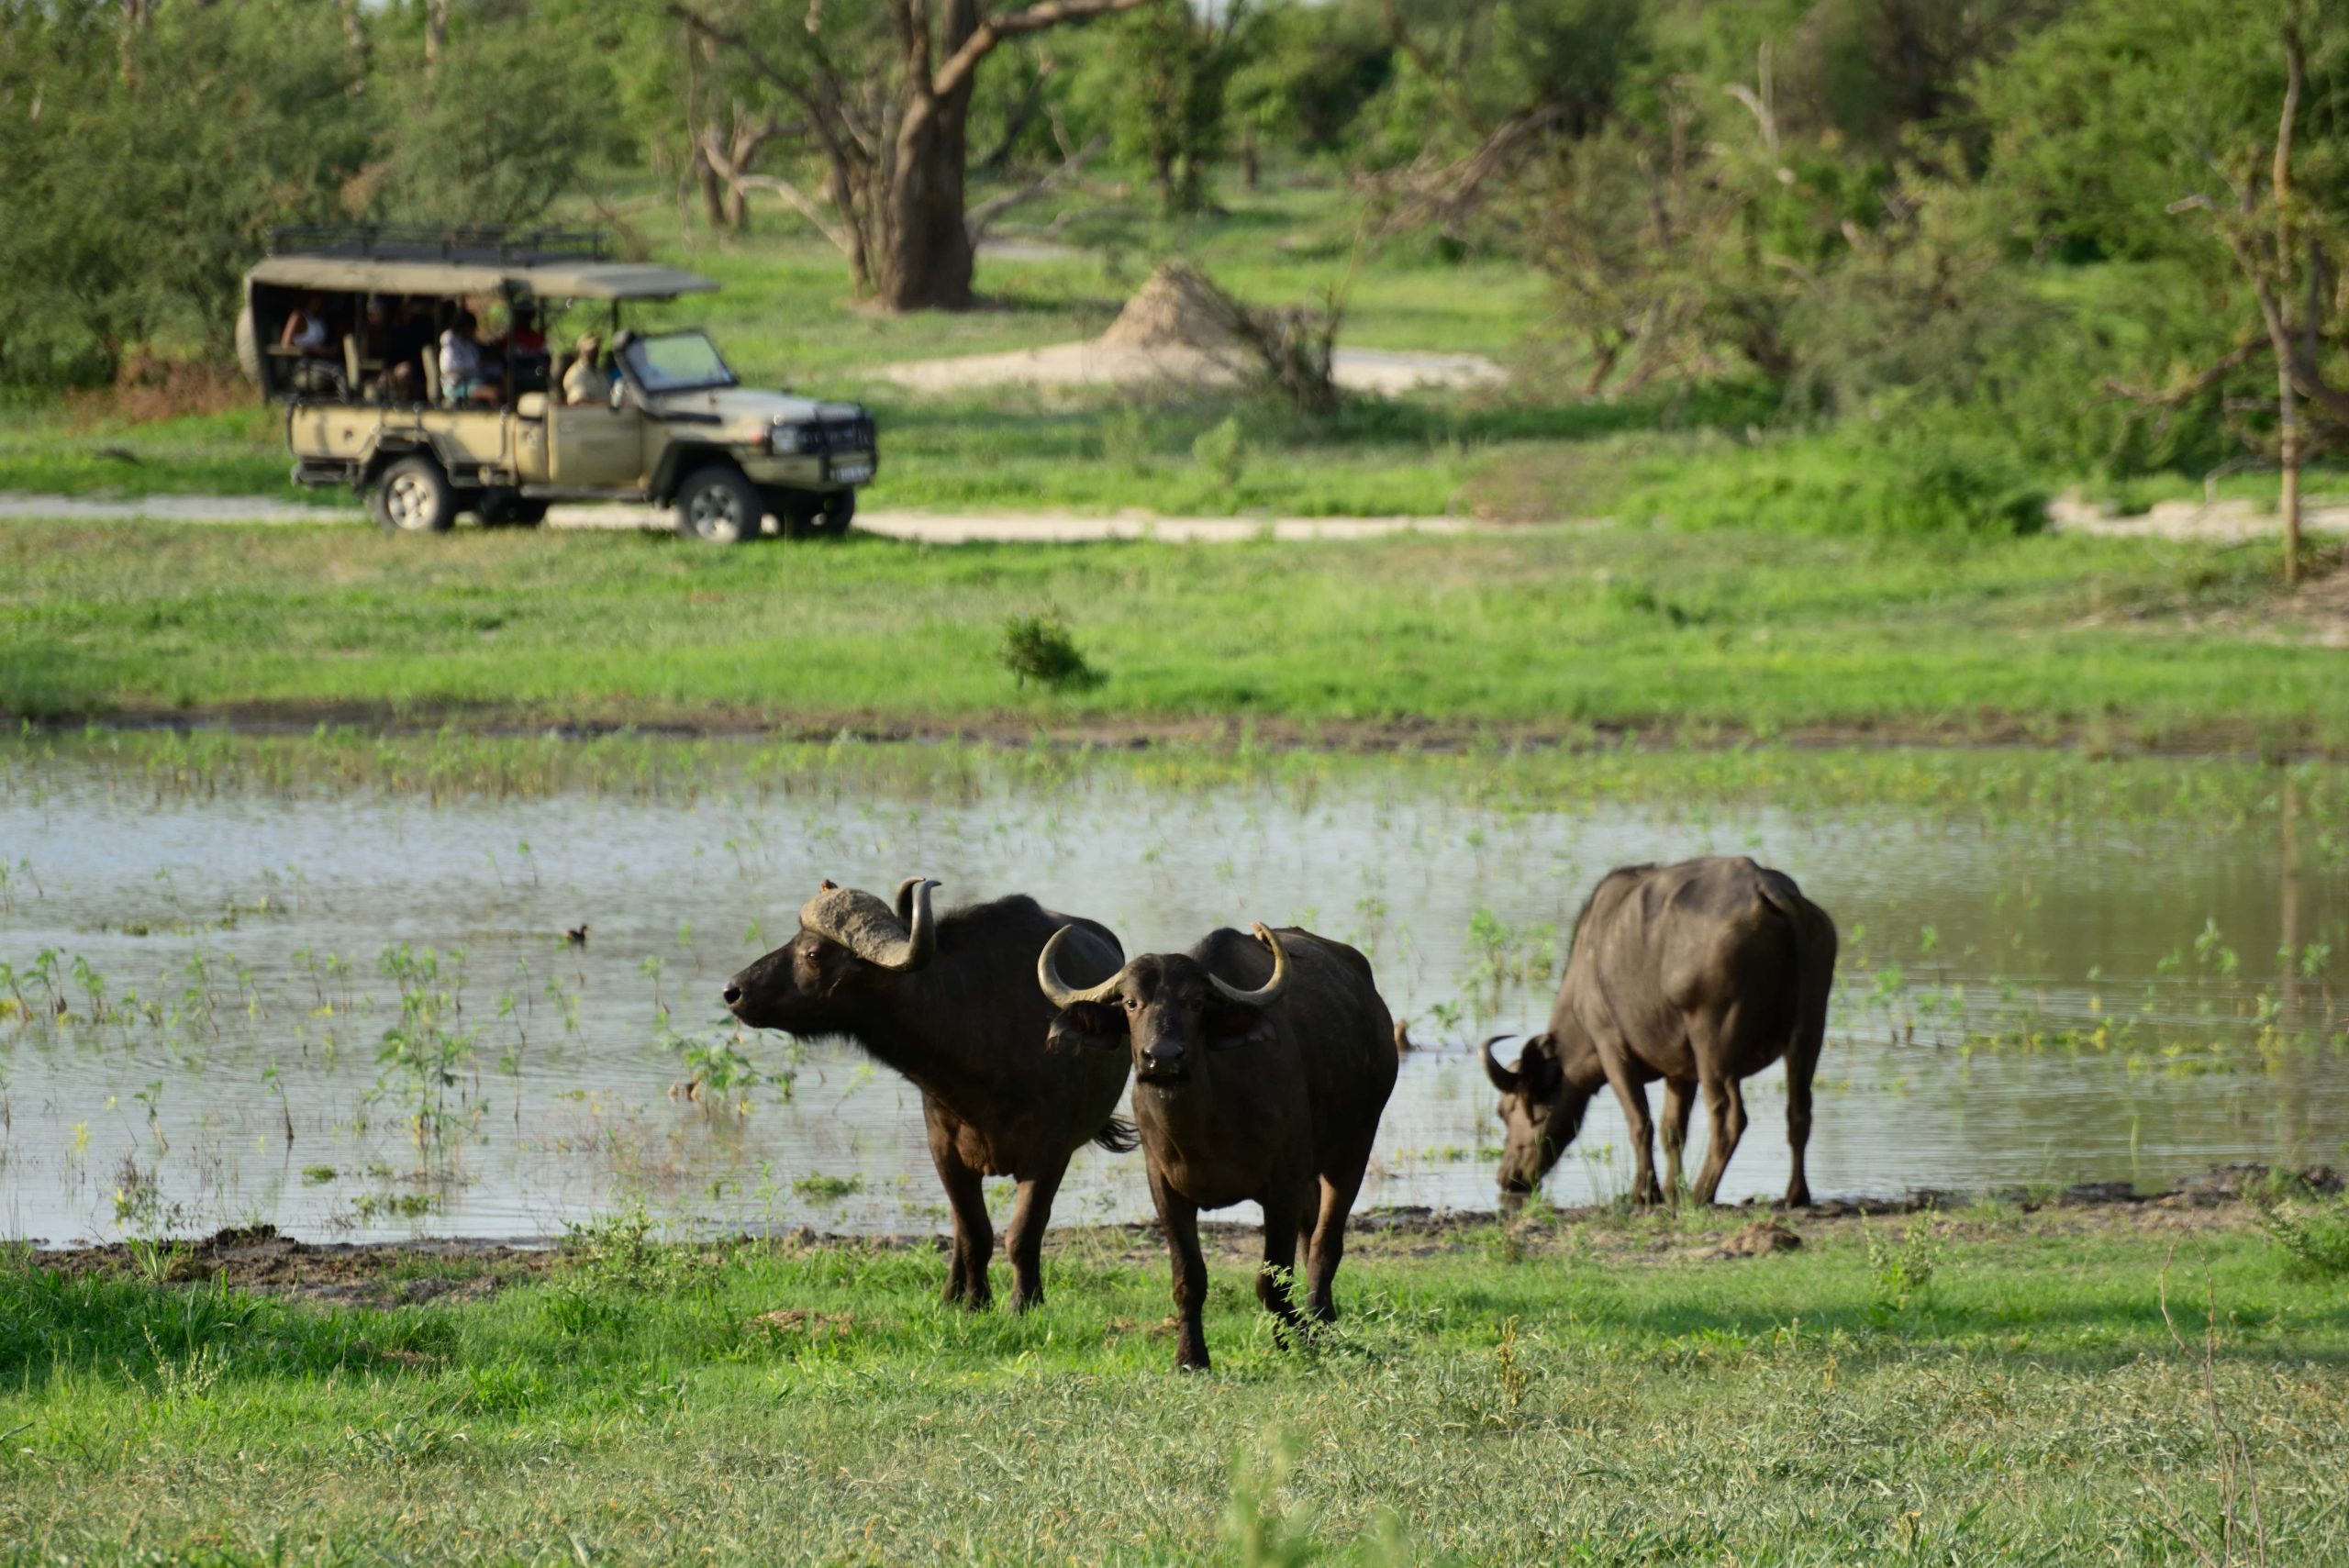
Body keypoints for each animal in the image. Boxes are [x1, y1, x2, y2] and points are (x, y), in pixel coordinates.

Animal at [722, 878, 1131, 1310]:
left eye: (813, 953)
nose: (732, 991)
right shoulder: (944, 1151)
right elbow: (973, 1233)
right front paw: (974, 1301)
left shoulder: (1050, 1154)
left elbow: (1023, 1233)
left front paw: (1024, 1303)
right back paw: (951, 1293)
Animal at [1039, 921, 1400, 1371]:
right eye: (1131, 1002)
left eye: (1196, 1002)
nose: (1162, 1057)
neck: (1203, 1126)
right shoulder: (1164, 1188)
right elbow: (1189, 1278)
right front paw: (1190, 1357)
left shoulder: (1283, 1184)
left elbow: (1272, 1280)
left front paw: (1294, 1340)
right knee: (1310, 1233)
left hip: (1354, 1145)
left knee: (1324, 1245)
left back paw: (1322, 1324)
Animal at [1483, 856, 1836, 1209]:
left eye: (1504, 1111)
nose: (1505, 1177)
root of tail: (1766, 889)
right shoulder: (1680, 1072)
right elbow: (1672, 1130)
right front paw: (1671, 1190)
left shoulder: (1612, 1049)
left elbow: (1640, 1122)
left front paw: (1645, 1192)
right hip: (1810, 1031)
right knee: (1799, 1110)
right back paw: (1795, 1195)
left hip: (1714, 1047)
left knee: (1729, 1118)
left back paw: (1702, 1193)